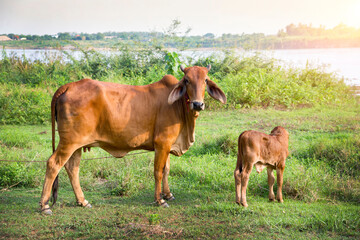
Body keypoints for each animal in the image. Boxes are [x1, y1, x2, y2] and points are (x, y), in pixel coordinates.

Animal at [39, 64, 225, 215]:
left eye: (205, 80)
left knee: (72, 168)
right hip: (69, 142)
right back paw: (44, 205)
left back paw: (82, 201)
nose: (198, 104)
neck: (180, 108)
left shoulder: (168, 144)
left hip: (77, 144)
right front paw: (160, 200)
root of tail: (68, 86)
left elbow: (166, 170)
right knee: (53, 164)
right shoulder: (162, 143)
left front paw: (168, 194)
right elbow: (158, 172)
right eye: (186, 80)